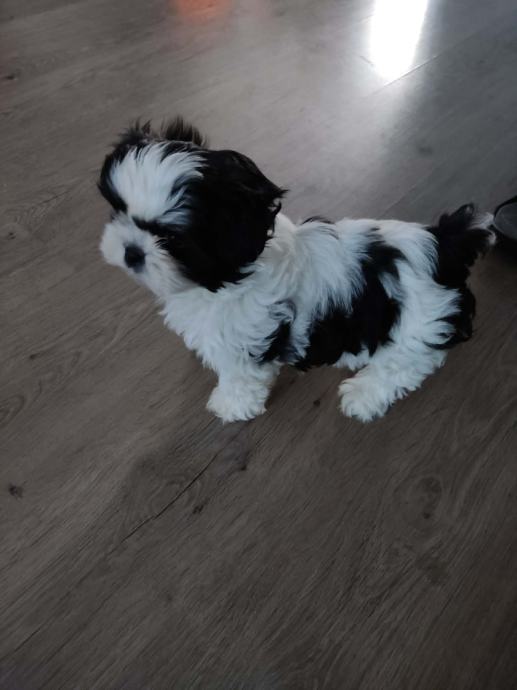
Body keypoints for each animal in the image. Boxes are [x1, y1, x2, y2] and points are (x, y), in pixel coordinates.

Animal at [99, 118, 495, 423]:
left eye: (171, 239)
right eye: (119, 210)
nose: (132, 252)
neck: (224, 278)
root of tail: (443, 242)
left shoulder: (247, 345)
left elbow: (239, 379)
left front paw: (229, 406)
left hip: (415, 327)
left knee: (409, 363)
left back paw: (363, 394)